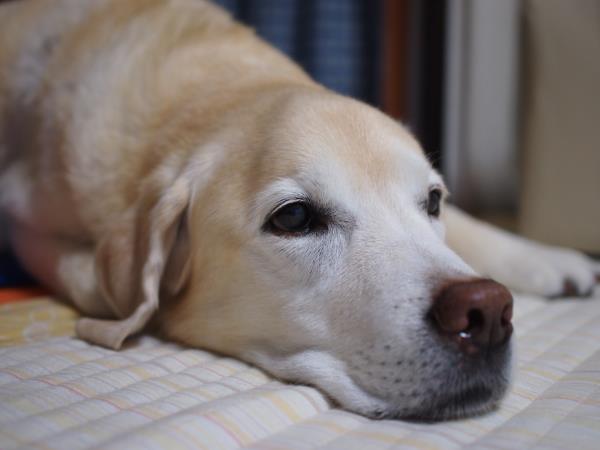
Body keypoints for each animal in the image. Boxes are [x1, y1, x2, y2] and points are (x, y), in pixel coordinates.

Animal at [0, 0, 596, 420]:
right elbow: (93, 280)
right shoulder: (28, 221)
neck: (212, 93)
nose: (487, 312)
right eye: (293, 218)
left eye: (432, 200)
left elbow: (470, 226)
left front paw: (548, 258)